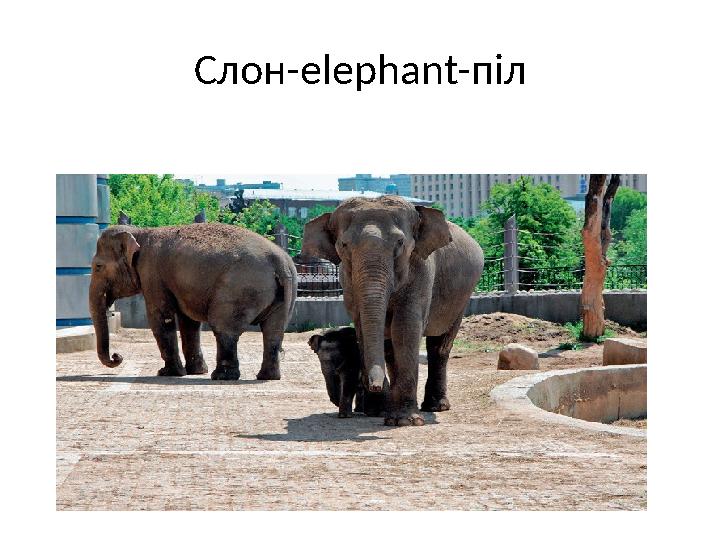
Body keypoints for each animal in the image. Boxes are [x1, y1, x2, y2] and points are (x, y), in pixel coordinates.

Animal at [89, 222, 298, 380]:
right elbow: (188, 322)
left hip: (238, 288)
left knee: (223, 327)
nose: (117, 356)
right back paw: (267, 377)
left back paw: (221, 377)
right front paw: (195, 372)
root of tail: (280, 262)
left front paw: (168, 373)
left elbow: (161, 318)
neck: (140, 232)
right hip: (285, 293)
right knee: (273, 331)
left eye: (98, 266)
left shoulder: (152, 273)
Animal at [301, 196, 484, 426]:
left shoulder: (421, 269)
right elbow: (362, 325)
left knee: (440, 346)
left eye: (400, 243)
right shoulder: (347, 280)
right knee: (390, 349)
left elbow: (405, 327)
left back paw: (436, 407)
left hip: (462, 298)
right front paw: (377, 411)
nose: (374, 385)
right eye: (344, 245)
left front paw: (405, 421)